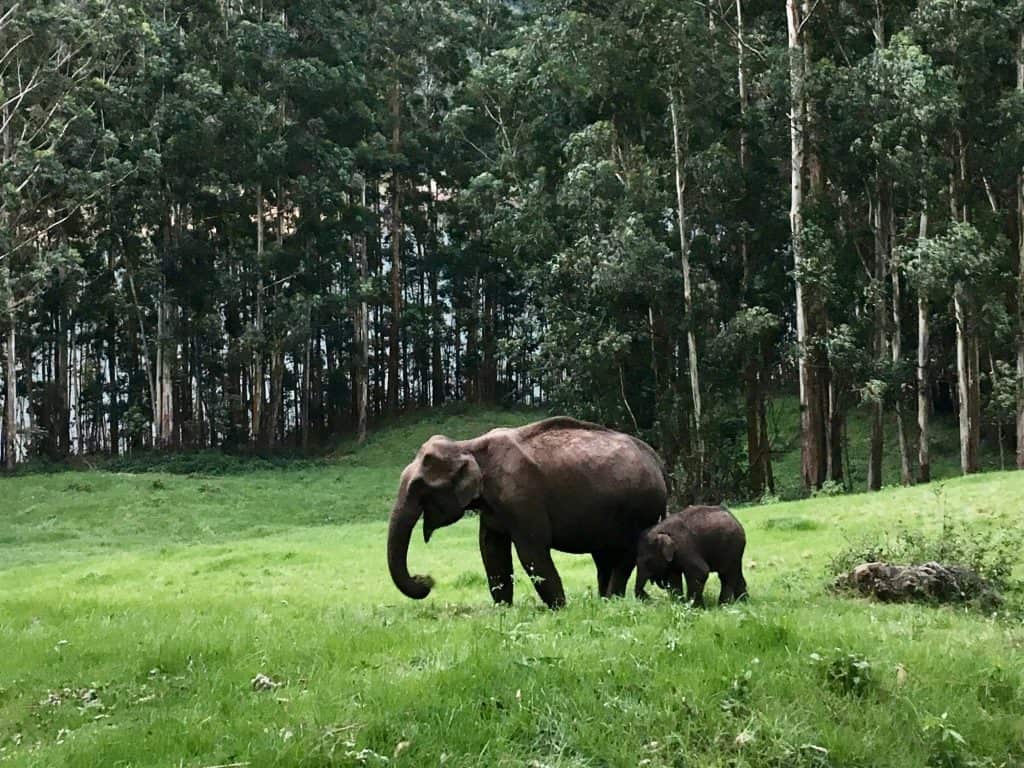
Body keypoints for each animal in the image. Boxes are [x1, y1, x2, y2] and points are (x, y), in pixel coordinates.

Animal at [386, 417, 668, 609]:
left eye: (419, 487)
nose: (426, 580)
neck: (469, 446)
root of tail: (656, 461)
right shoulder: (493, 507)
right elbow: (491, 550)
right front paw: (504, 609)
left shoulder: (521, 496)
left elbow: (531, 551)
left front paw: (560, 609)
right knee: (603, 556)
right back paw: (604, 602)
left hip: (641, 510)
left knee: (625, 555)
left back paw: (611, 600)